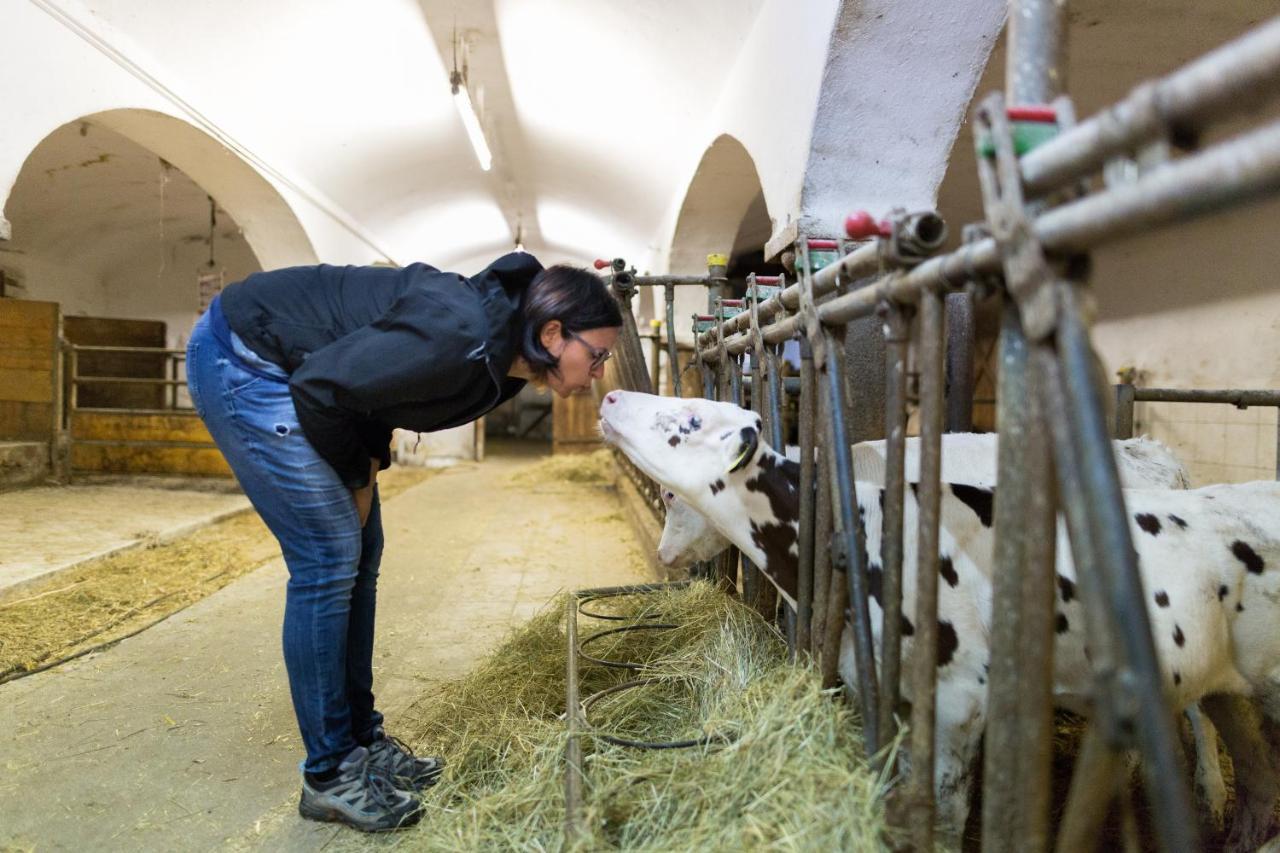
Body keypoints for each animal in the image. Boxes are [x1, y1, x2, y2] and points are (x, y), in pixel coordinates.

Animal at [599, 389, 1280, 845]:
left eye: (672, 492)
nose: (666, 556)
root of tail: (1151, 450)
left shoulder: (957, 699)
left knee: (1201, 717)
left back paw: (1207, 792)